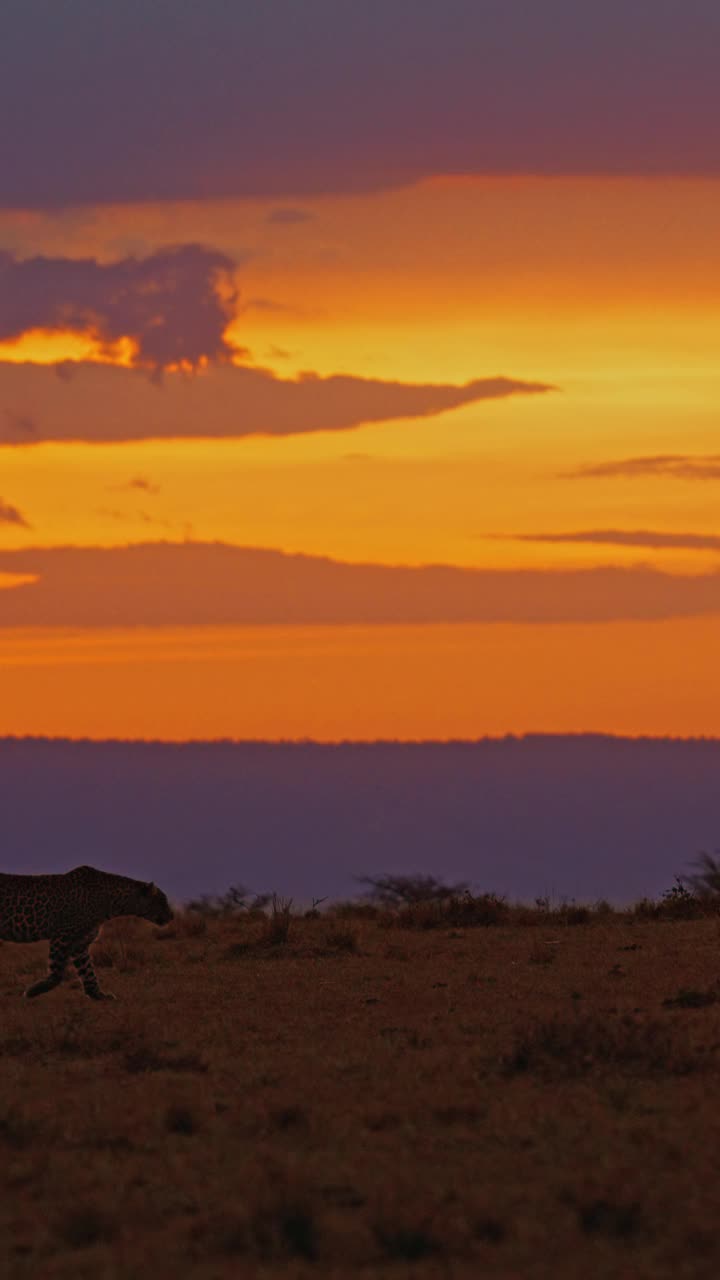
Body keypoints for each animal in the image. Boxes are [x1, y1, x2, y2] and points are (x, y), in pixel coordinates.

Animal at [0, 860, 172, 998]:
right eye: (162, 901)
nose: (172, 916)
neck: (112, 903)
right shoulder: (62, 936)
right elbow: (57, 972)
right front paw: (33, 991)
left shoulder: (80, 944)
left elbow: (88, 973)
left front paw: (99, 995)